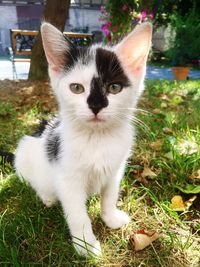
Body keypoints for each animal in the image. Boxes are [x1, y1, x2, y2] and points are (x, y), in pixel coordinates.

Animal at [14, 22, 152, 256]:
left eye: (114, 87)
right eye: (76, 88)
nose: (96, 105)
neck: (97, 138)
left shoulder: (116, 169)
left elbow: (109, 195)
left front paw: (110, 218)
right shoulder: (68, 179)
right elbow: (78, 215)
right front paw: (87, 245)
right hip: (25, 151)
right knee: (32, 180)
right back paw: (47, 196)